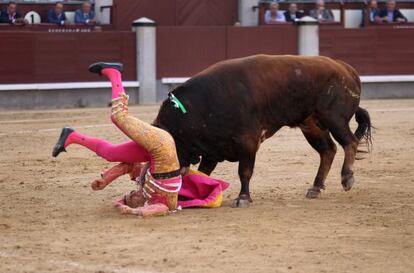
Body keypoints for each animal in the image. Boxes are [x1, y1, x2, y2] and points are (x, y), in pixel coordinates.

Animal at [154, 54, 372, 206]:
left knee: (349, 142)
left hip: (334, 118)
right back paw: (316, 187)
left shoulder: (247, 141)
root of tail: (346, 68)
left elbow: (244, 171)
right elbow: (203, 173)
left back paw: (347, 178)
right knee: (328, 150)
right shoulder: (213, 149)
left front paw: (243, 198)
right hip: (311, 125)